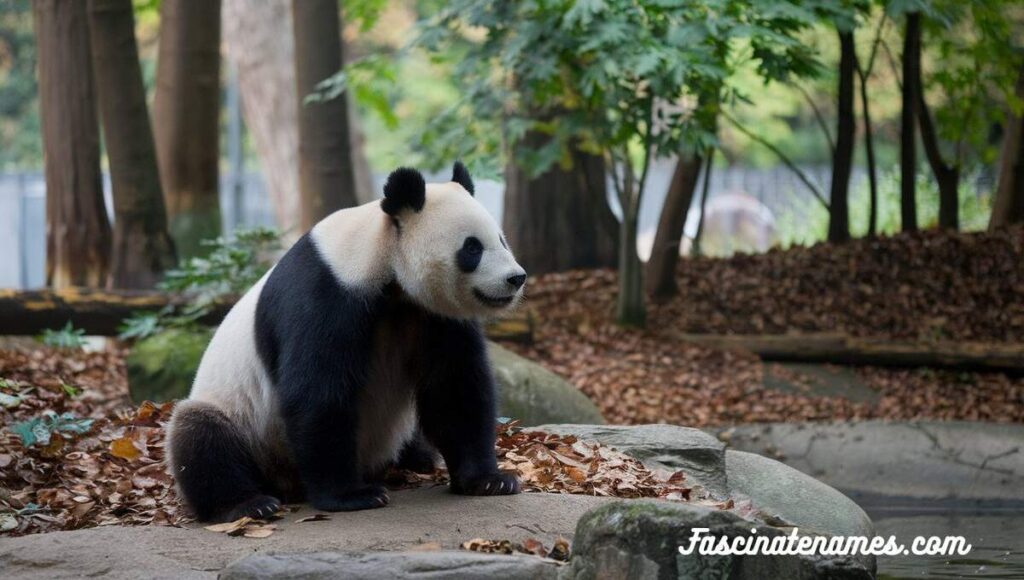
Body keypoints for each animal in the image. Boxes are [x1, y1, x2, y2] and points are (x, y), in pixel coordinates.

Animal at [166, 163, 526, 522]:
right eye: (472, 248)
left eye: (501, 239)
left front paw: (489, 480)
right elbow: (318, 391)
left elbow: (454, 388)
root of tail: (285, 480)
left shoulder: (432, 314)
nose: (516, 278)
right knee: (202, 436)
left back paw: (419, 458)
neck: (383, 262)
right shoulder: (326, 293)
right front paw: (349, 495)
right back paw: (247, 503)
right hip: (245, 422)